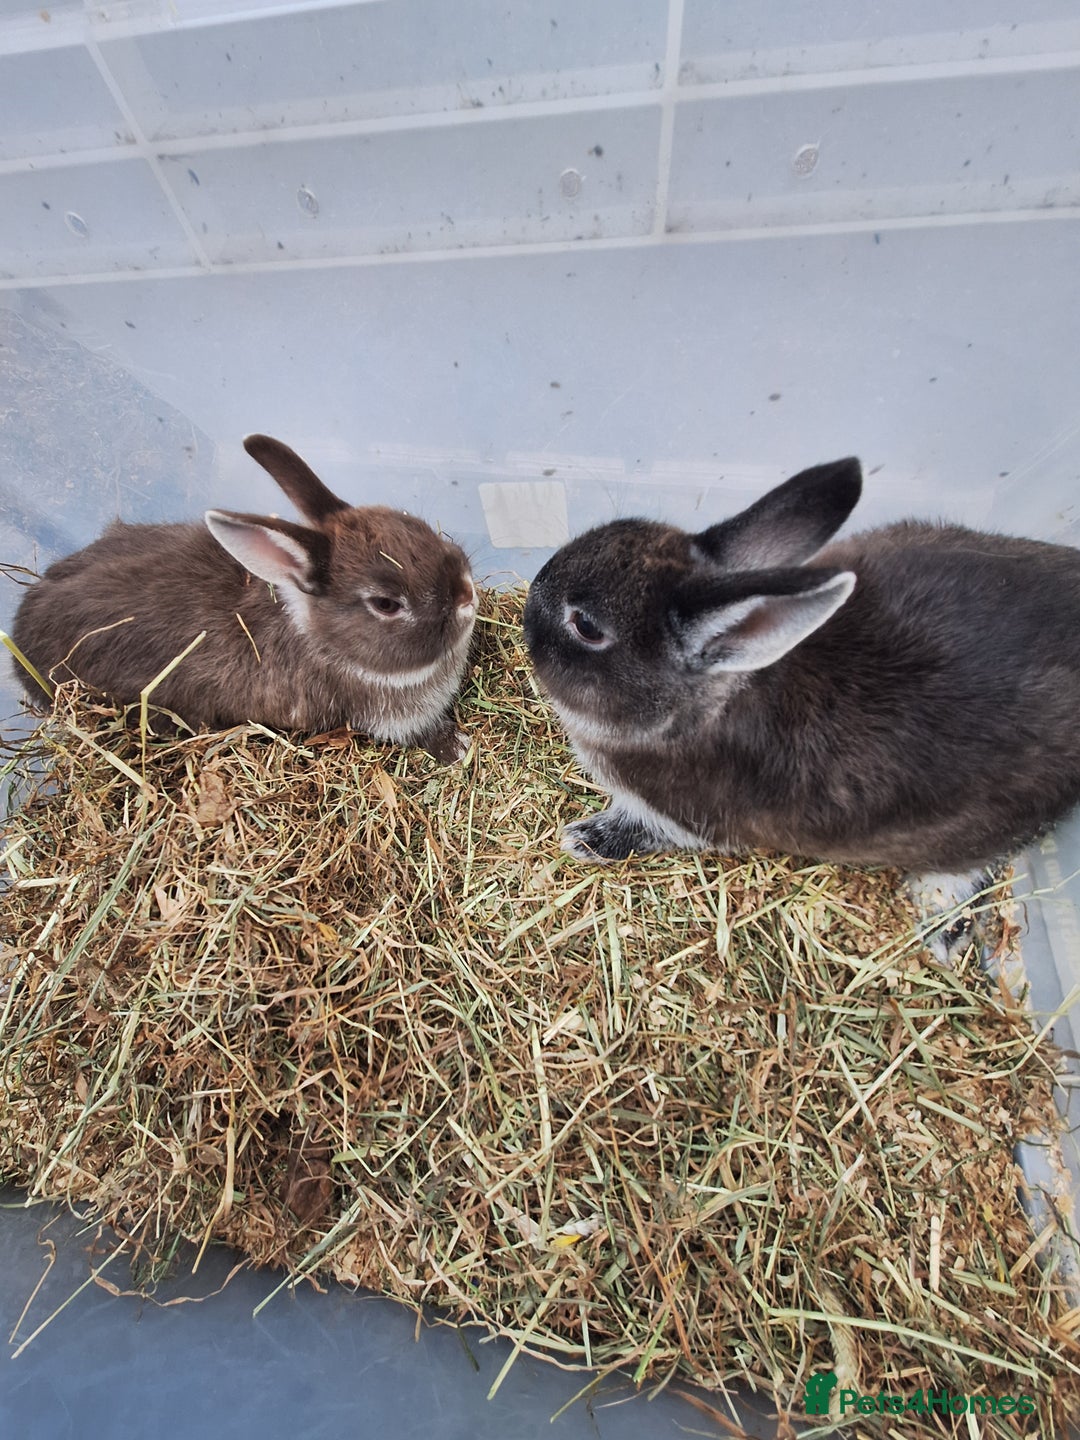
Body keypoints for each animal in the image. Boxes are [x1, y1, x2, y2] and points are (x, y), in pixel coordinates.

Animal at [11, 434, 477, 763]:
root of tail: (18, 640)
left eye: (416, 525)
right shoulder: (388, 717)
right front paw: (458, 749)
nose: (467, 594)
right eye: (386, 604)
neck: (327, 641)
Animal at [523, 456, 1080, 872]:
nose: (530, 599)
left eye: (587, 627)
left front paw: (585, 839)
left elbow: (644, 827)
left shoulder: (686, 819)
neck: (696, 710)